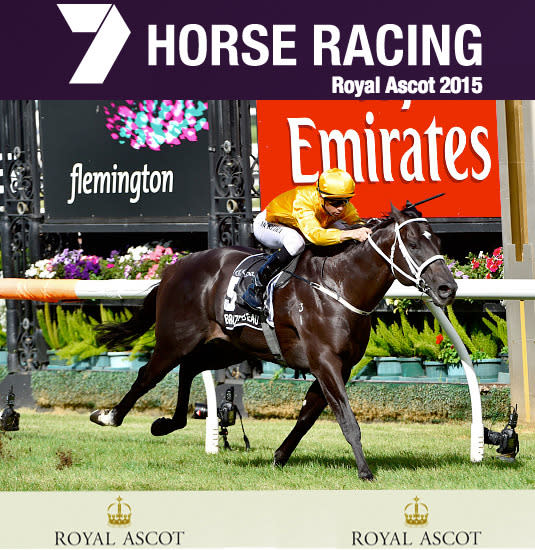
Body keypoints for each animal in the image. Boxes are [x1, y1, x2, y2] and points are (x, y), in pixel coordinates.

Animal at [91, 205, 456, 480]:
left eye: (438, 240)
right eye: (412, 243)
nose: (447, 289)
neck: (338, 285)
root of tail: (174, 268)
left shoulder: (340, 365)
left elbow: (308, 415)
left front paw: (280, 456)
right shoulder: (325, 361)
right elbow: (347, 420)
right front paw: (365, 472)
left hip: (227, 345)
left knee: (190, 368)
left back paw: (168, 423)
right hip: (176, 339)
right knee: (147, 376)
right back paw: (109, 416)